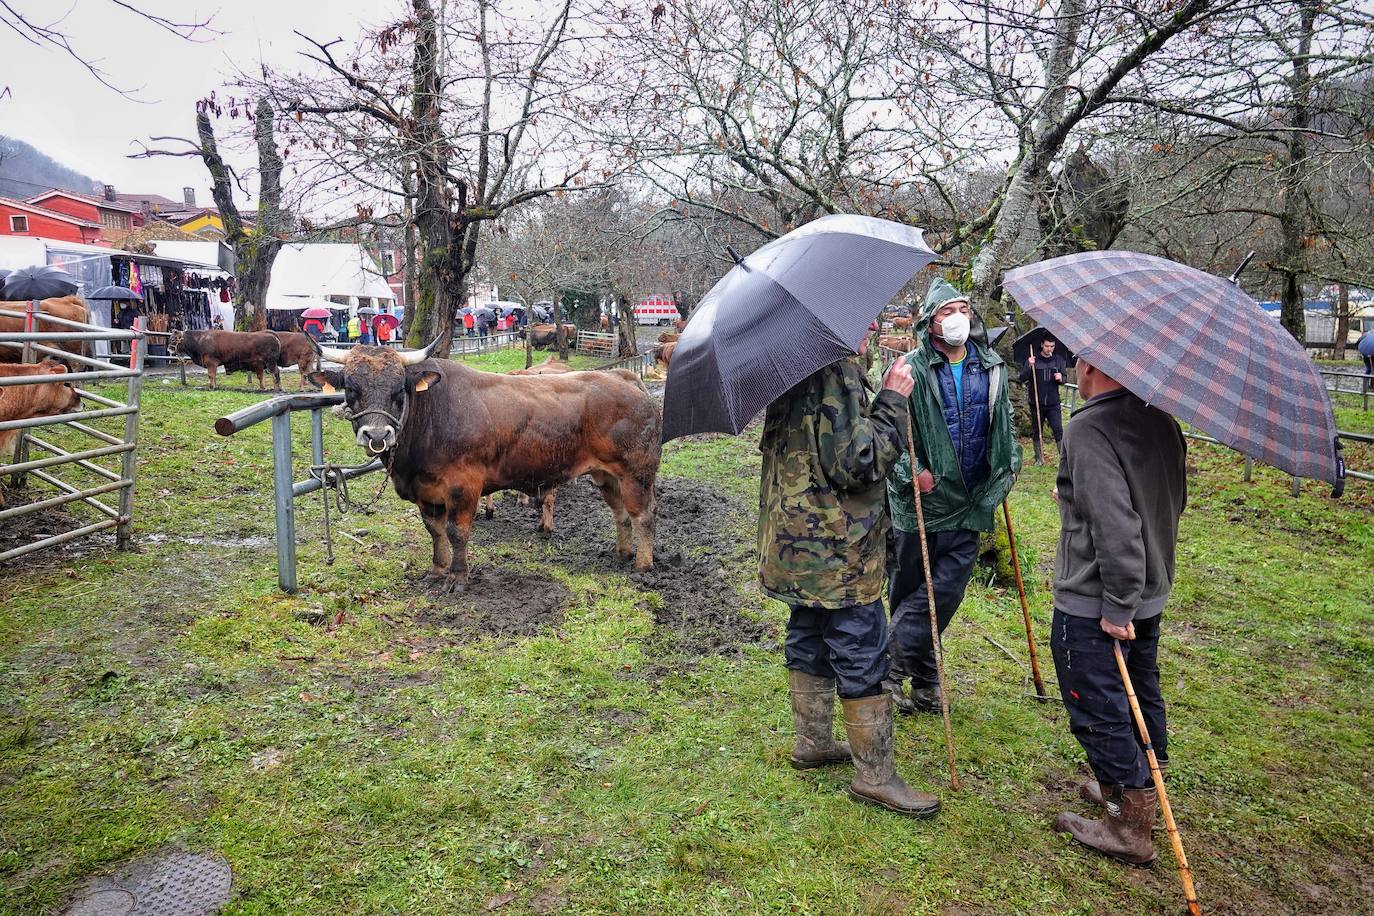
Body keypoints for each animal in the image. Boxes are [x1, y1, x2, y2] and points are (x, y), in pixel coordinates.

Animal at [311, 340, 659, 590]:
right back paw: (622, 553)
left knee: (642, 516)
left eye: (399, 389)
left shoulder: (463, 486)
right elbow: (435, 531)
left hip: (637, 473)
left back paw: (642, 565)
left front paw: (458, 577)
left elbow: (457, 531)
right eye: (351, 388)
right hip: (606, 475)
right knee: (620, 513)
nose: (377, 435)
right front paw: (437, 570)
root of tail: (623, 377)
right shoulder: (426, 491)